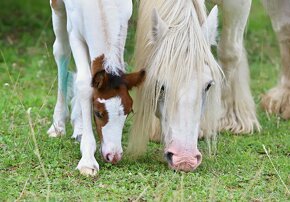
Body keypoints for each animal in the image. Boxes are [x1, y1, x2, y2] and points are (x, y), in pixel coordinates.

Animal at [47, 0, 145, 175]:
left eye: (129, 111)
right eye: (98, 113)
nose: (113, 156)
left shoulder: (124, 21)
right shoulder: (74, 32)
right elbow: (84, 83)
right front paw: (87, 160)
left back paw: (78, 127)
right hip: (57, 9)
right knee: (61, 51)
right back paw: (58, 124)